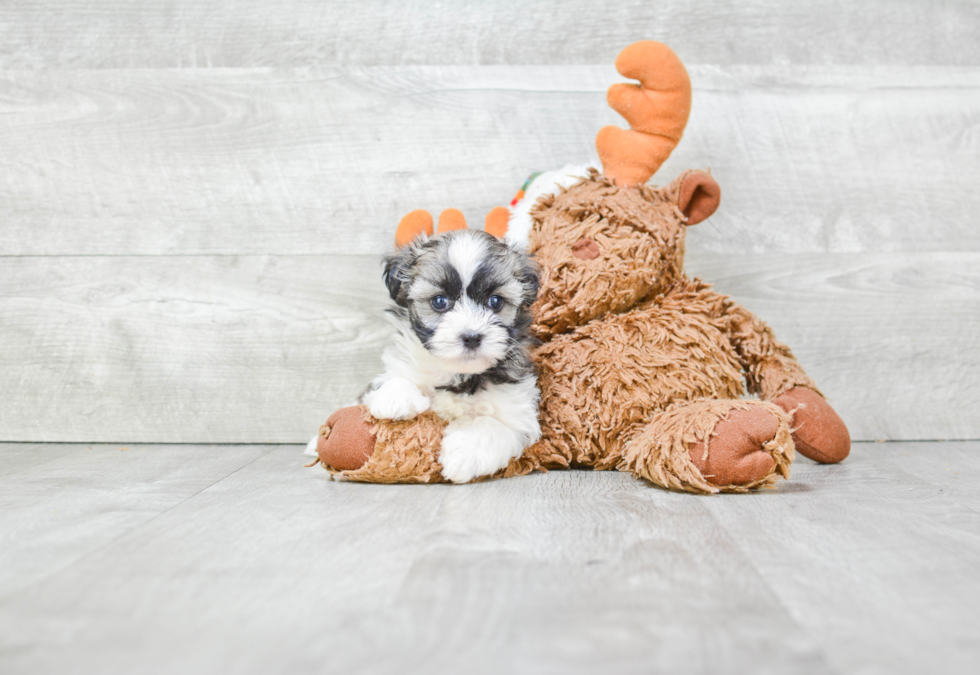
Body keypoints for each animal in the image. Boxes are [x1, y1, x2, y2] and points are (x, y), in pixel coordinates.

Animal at [362, 230, 540, 484]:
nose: (471, 337)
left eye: (495, 301)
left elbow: (493, 425)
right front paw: (395, 398)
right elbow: (396, 375)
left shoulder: (518, 409)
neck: (458, 372)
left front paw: (463, 454)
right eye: (439, 301)